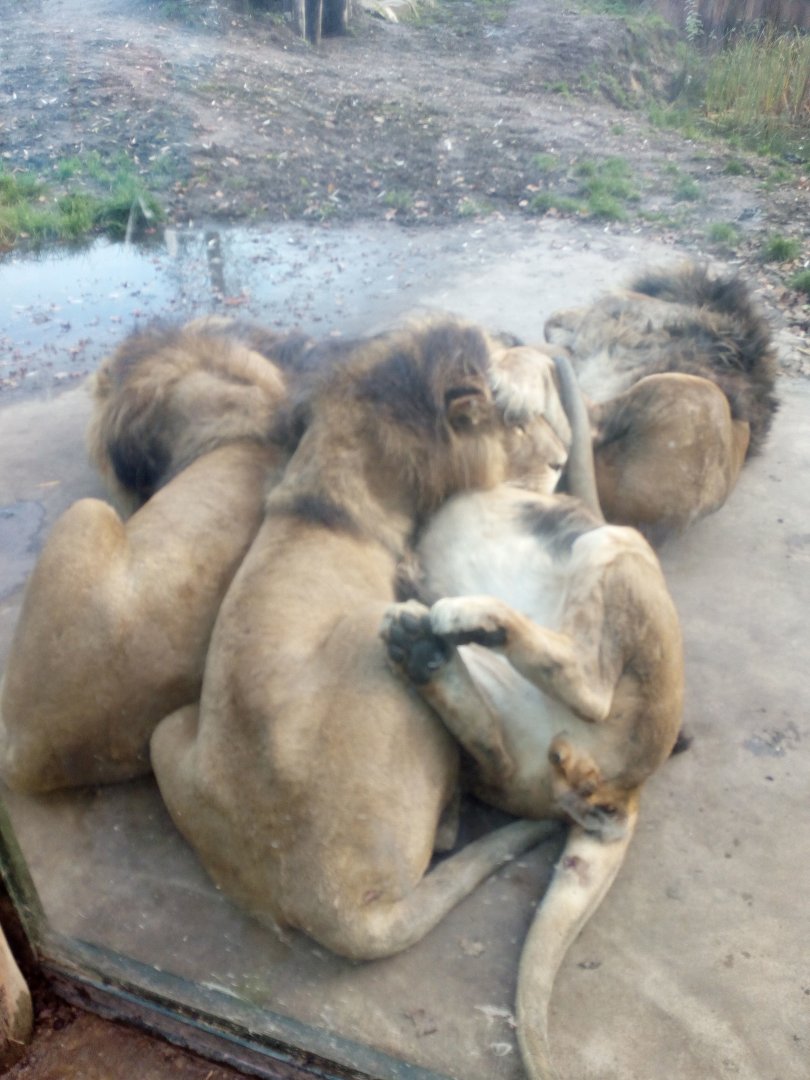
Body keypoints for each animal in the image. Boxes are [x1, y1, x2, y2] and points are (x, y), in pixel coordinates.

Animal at [150, 319, 577, 960]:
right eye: (518, 425)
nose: (563, 457)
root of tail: (330, 906)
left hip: (166, 730)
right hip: (377, 623)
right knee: (470, 790)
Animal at [381, 350, 684, 1080]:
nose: (493, 373)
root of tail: (627, 792)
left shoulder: (564, 478)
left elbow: (560, 396)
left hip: (611, 544)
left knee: (587, 681)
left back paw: (463, 617)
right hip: (512, 724)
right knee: (493, 746)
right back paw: (425, 644)